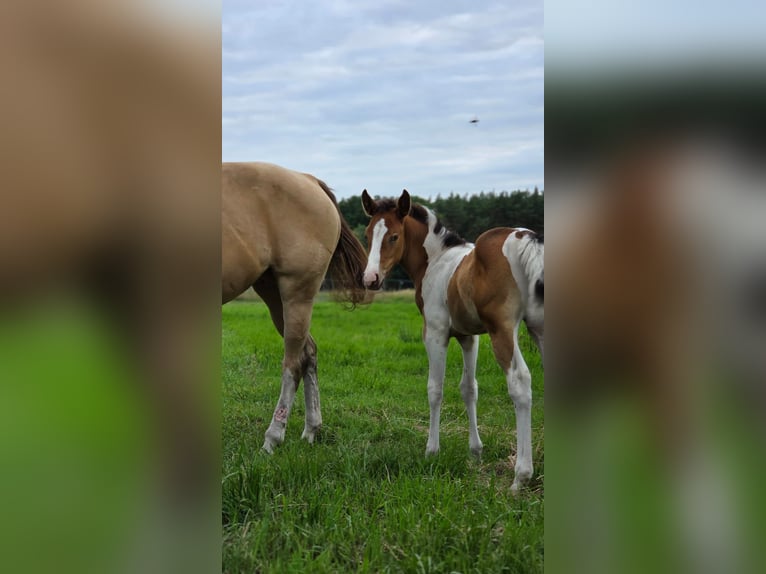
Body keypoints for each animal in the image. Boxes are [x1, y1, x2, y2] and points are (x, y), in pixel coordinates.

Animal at [222, 162, 368, 453]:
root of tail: (309, 180)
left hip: (296, 294)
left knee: (293, 363)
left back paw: (272, 438)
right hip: (273, 294)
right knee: (309, 353)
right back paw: (311, 429)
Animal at [361, 189, 544, 491]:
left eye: (394, 236)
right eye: (367, 235)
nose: (370, 278)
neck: (435, 261)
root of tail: (526, 240)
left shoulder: (435, 333)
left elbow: (435, 388)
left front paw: (431, 451)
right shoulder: (469, 338)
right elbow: (469, 388)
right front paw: (476, 452)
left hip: (504, 331)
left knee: (520, 382)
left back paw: (521, 476)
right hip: (540, 328)